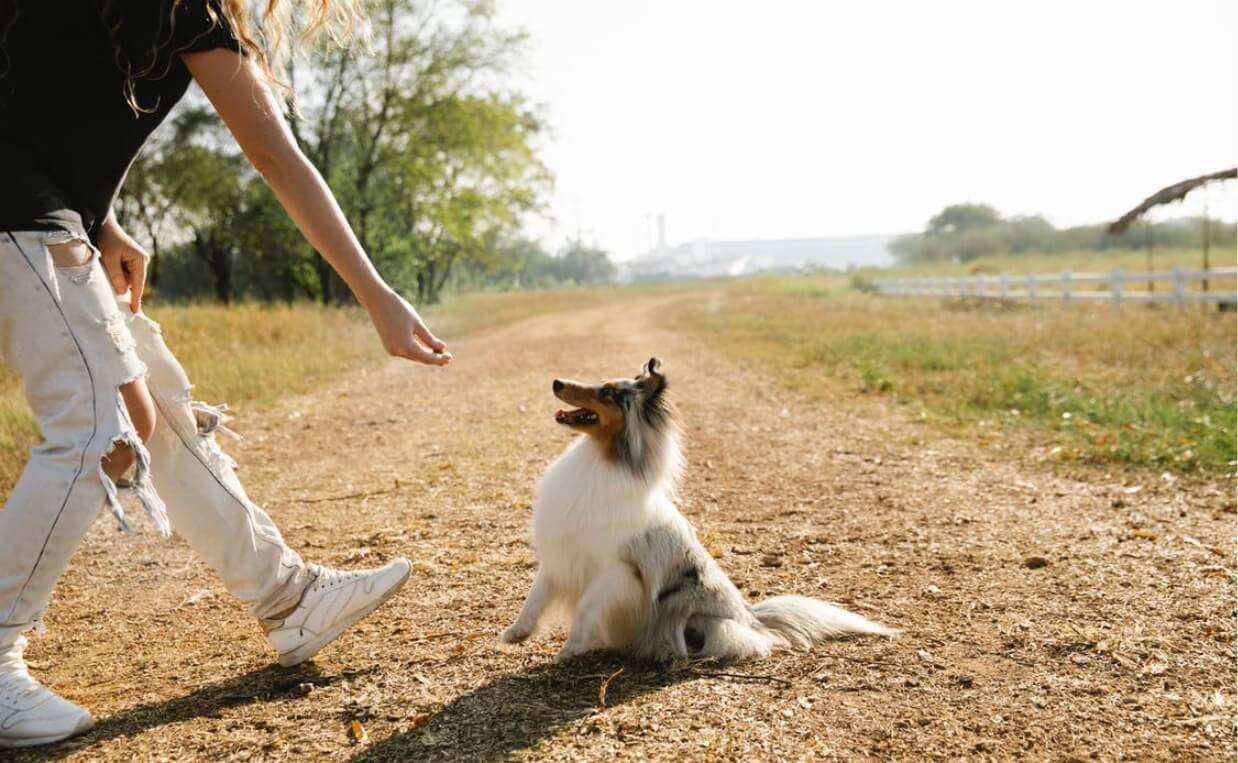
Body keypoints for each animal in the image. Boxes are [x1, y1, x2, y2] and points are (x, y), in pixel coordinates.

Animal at [497, 356, 896, 663]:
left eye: (607, 393)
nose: (556, 381)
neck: (602, 460)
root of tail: (753, 619)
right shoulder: (561, 552)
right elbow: (535, 595)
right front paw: (516, 632)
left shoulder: (617, 572)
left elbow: (585, 608)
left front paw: (570, 650)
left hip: (695, 614)